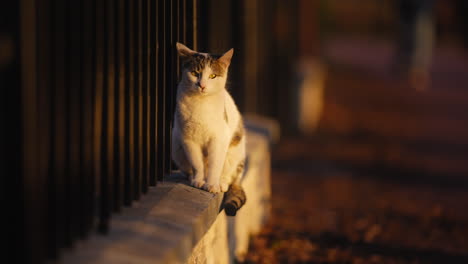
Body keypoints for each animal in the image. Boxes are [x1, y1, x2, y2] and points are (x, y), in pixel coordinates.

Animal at [171, 42, 247, 196]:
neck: (201, 103)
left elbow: (215, 164)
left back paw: (221, 183)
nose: (202, 85)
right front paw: (198, 181)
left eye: (213, 76)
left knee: (229, 175)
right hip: (176, 147)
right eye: (195, 73)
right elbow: (197, 163)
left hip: (234, 153)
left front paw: (212, 185)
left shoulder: (218, 138)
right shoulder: (188, 139)